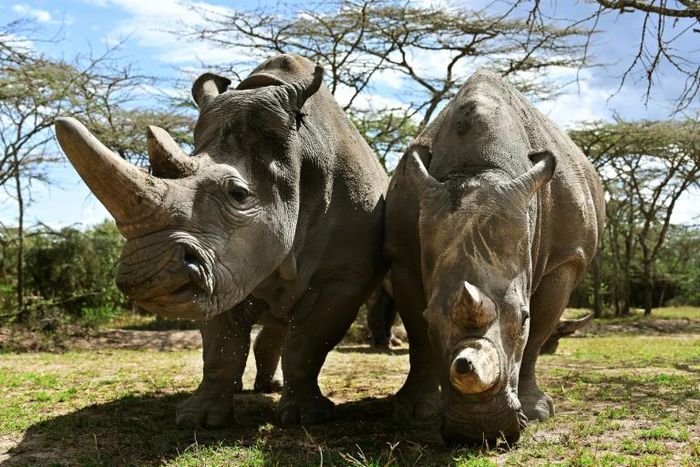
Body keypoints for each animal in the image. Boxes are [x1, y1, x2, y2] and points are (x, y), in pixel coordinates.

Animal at [55, 53, 388, 427]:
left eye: (239, 194)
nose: (146, 273)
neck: (299, 155)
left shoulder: (344, 274)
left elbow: (308, 342)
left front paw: (305, 418)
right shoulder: (219, 269)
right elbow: (222, 345)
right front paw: (199, 419)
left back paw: (273, 389)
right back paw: (259, 387)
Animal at [385, 70, 604, 444]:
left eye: (523, 318)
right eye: (431, 319)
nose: (479, 432)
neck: (479, 168)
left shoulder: (566, 259)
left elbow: (539, 332)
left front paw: (536, 411)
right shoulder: (402, 255)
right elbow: (416, 333)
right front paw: (414, 410)